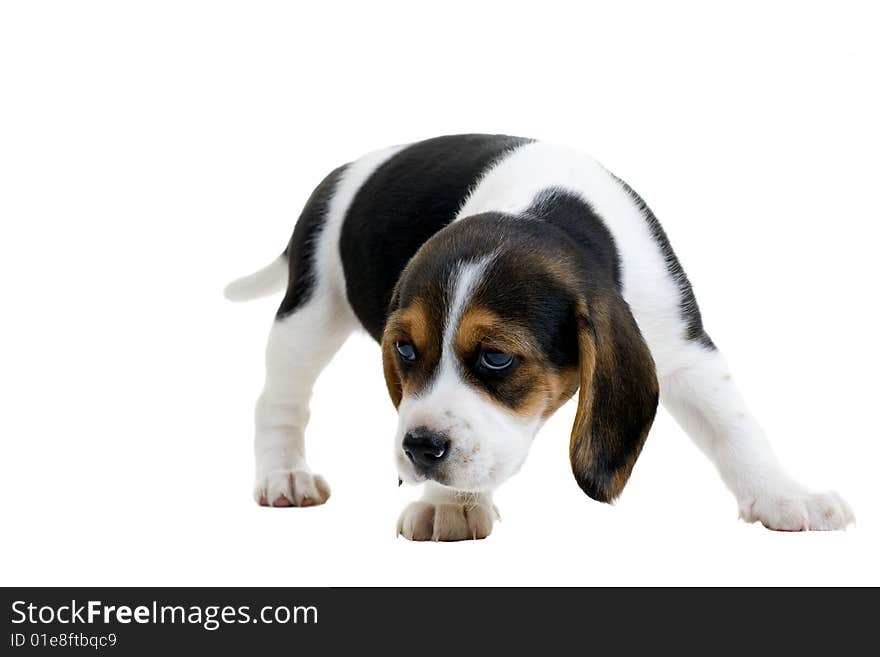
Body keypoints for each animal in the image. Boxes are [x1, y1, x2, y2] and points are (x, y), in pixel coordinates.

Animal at [227, 132, 852, 540]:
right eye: (404, 349)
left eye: (496, 358)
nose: (420, 449)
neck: (541, 209)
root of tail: (346, 170)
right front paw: (449, 504)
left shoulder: (684, 346)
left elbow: (734, 427)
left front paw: (784, 495)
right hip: (309, 309)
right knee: (278, 400)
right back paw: (284, 475)